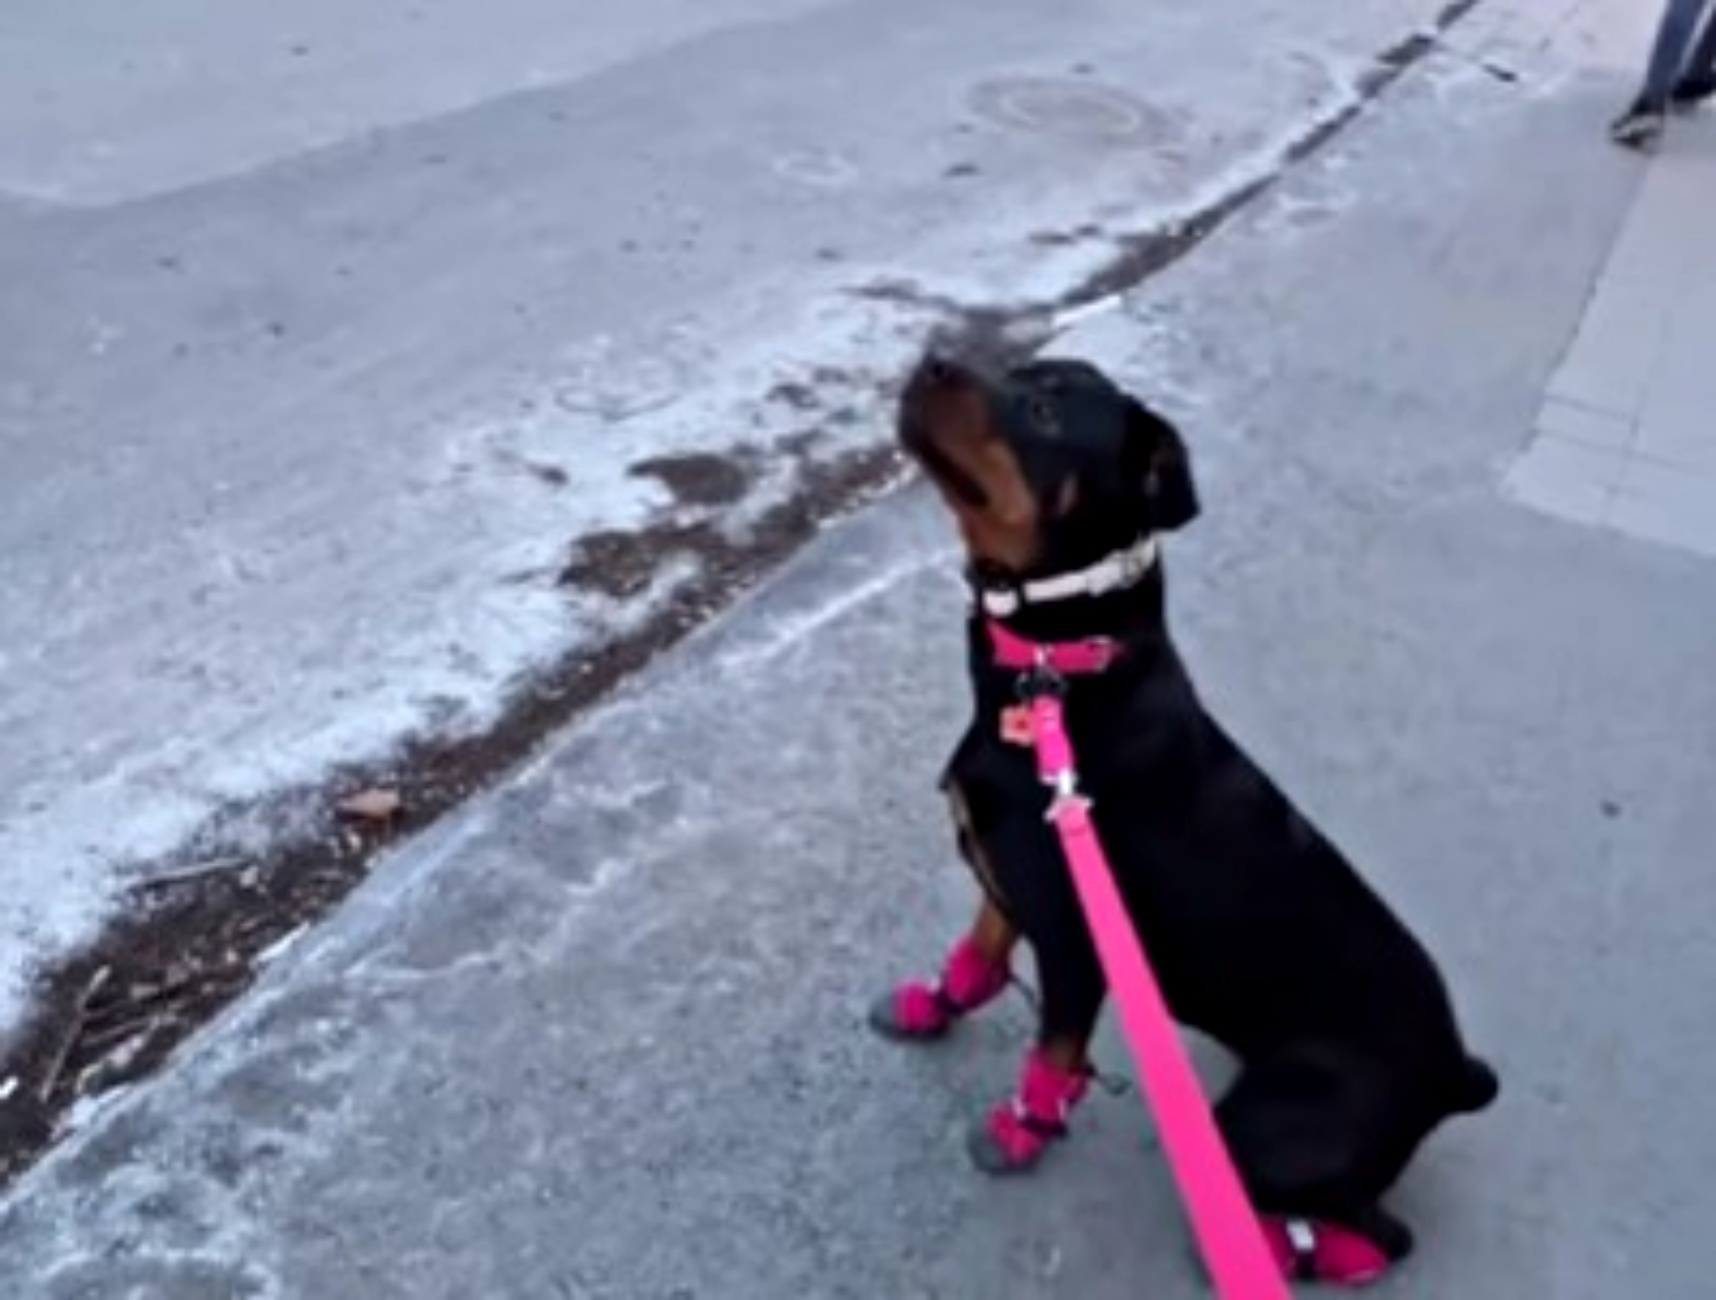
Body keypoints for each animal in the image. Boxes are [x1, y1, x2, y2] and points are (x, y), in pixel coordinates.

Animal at [864, 351, 1496, 1289]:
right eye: (1016, 365)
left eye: (1045, 409)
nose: (934, 356)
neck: (1057, 674)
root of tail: (1452, 1073)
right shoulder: (1008, 883)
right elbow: (975, 955)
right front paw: (929, 1006)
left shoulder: (1075, 943)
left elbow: (1054, 1052)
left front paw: (1021, 1130)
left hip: (1273, 1124)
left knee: (1384, 1235)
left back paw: (1282, 1248)